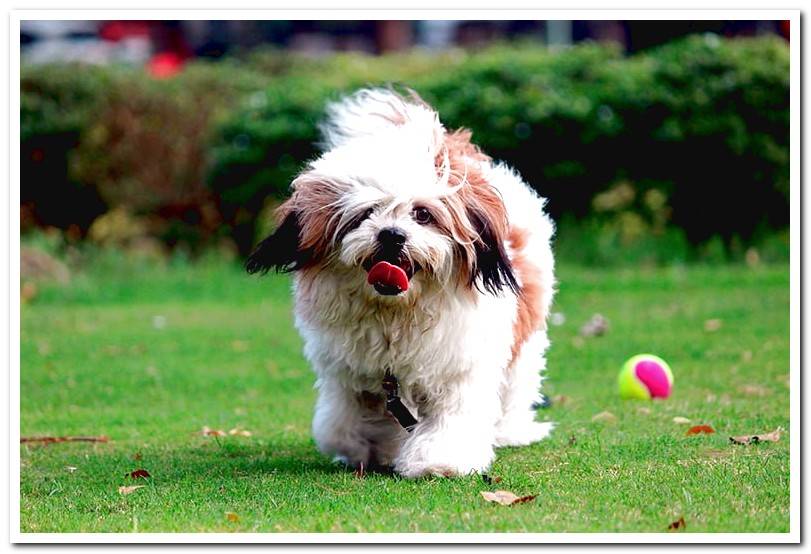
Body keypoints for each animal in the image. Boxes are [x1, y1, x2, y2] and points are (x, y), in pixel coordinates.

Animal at [246, 87, 560, 474]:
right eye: (365, 214)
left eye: (422, 214)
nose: (392, 235)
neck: (396, 313)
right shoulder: (352, 376)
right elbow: (344, 425)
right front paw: (370, 448)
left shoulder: (460, 366)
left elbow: (451, 419)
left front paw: (440, 460)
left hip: (524, 341)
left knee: (516, 385)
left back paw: (510, 431)